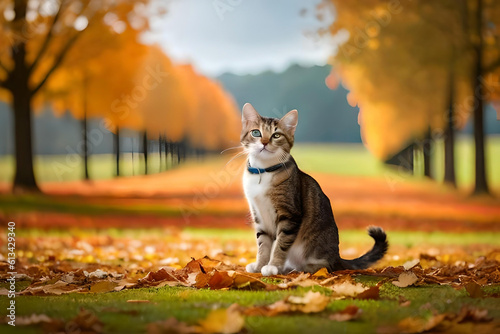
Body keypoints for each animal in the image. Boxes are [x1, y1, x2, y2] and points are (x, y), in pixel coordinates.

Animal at [240, 103, 388, 276]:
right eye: (256, 132)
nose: (264, 142)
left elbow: (281, 244)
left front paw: (273, 266)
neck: (263, 171)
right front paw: (259, 266)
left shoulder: (290, 215)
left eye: (276, 135)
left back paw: (303, 268)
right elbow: (263, 244)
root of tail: (337, 256)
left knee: (326, 266)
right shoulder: (259, 215)